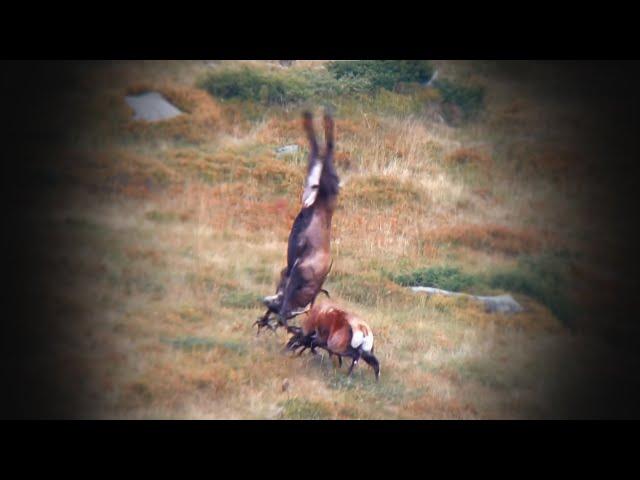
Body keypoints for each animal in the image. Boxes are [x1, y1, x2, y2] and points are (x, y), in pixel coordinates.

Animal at [255, 109, 340, 334]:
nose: (267, 301)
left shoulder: (291, 272)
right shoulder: (293, 274)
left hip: (318, 182)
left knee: (319, 150)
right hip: (326, 183)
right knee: (325, 150)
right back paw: (321, 116)